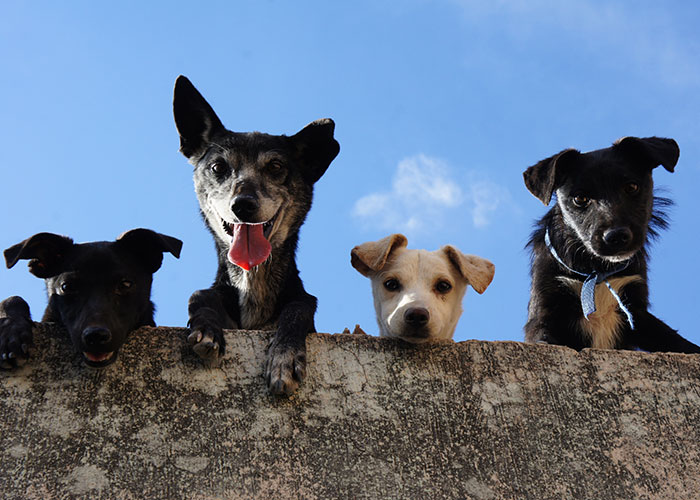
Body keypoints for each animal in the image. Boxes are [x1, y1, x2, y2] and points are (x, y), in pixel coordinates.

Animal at [174, 75, 340, 394]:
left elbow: (299, 307)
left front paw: (284, 357)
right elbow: (199, 294)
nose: (243, 205)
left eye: (275, 166)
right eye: (218, 167)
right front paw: (206, 329)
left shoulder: (301, 305)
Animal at [524, 137, 700, 354]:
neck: (597, 271)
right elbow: (543, 337)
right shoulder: (545, 308)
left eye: (632, 187)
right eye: (580, 198)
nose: (616, 236)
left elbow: (673, 339)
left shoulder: (636, 310)